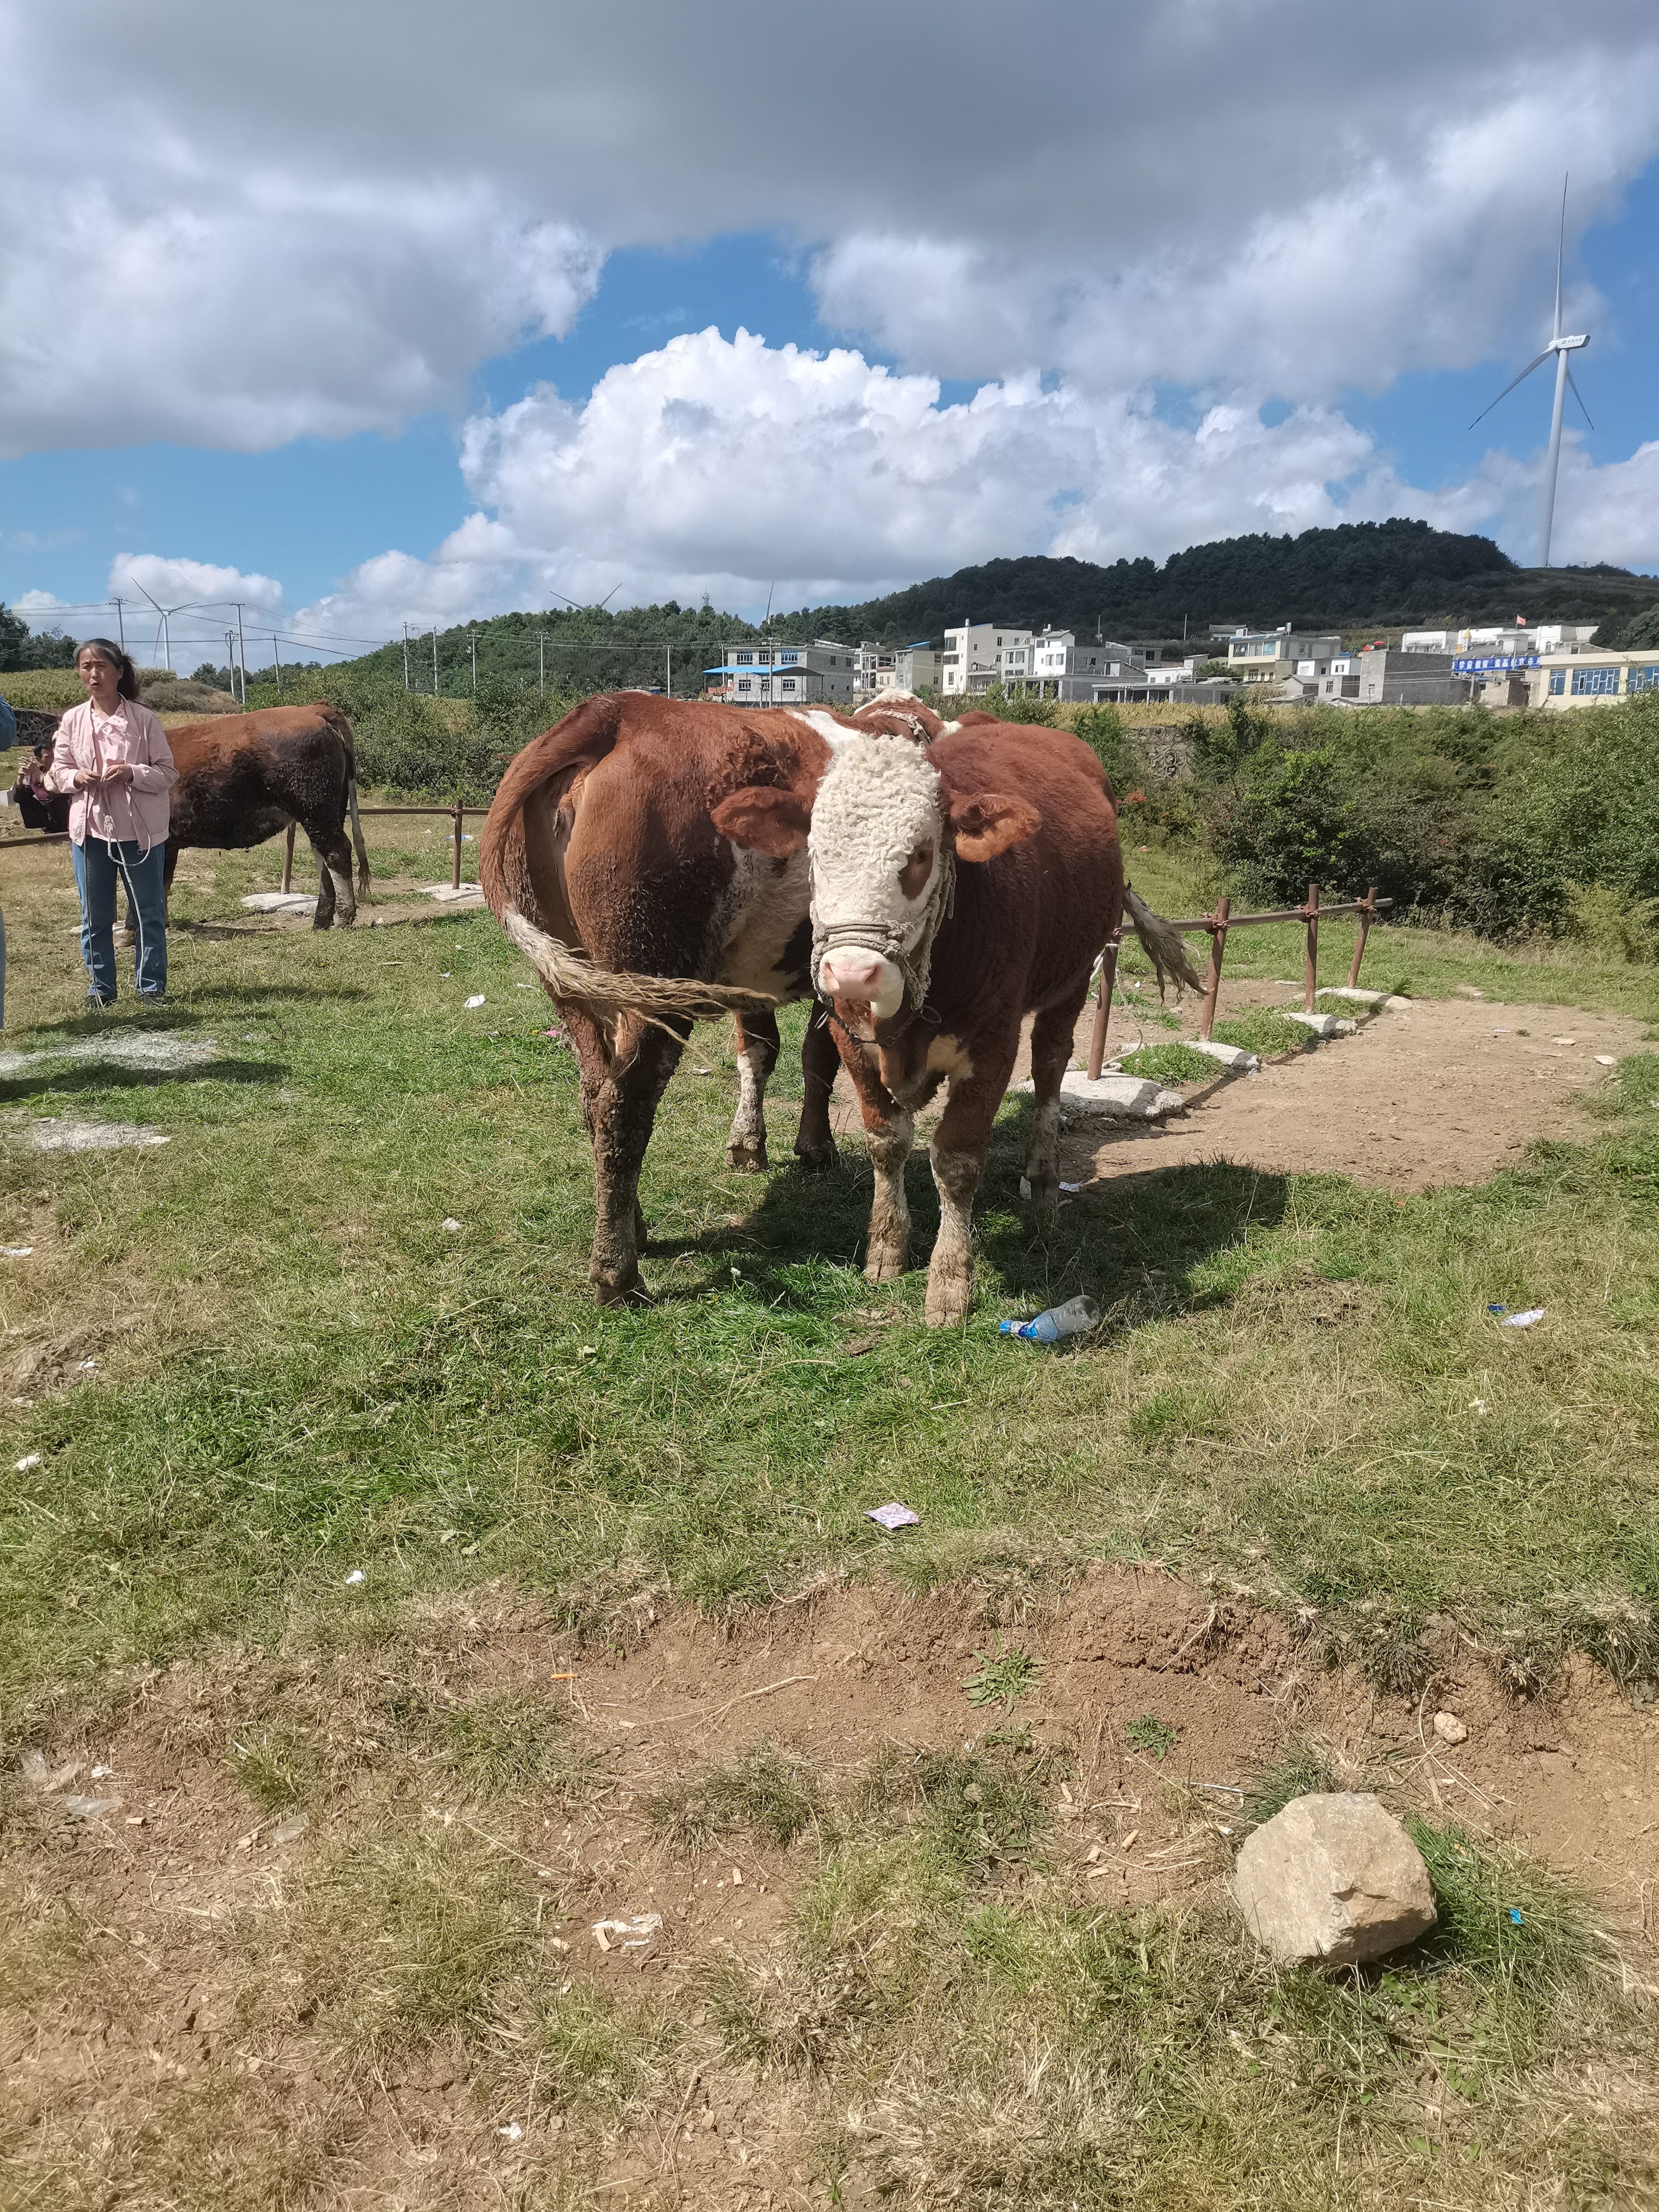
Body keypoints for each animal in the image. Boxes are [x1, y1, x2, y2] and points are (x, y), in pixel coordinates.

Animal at [162, 699, 369, 925]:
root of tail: (313, 709)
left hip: (315, 808)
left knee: (336, 851)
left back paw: (344, 917)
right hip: (326, 811)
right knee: (322, 854)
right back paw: (321, 921)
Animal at [480, 690, 947, 1300]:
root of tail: (614, 712)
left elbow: (764, 1052)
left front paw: (751, 1144)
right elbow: (819, 1057)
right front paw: (813, 1146)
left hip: (570, 982)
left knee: (593, 1097)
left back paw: (632, 1226)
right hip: (653, 977)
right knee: (623, 1107)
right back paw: (617, 1274)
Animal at [721, 716, 1203, 1318]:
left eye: (921, 854)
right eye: (816, 853)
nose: (852, 973)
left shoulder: (993, 1044)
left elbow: (956, 1160)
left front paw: (950, 1280)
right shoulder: (853, 1041)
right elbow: (885, 1142)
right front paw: (886, 1247)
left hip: (1073, 978)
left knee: (1050, 1069)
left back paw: (1043, 1181)